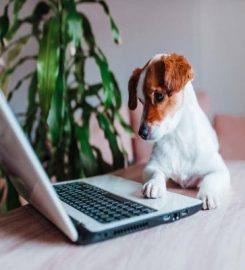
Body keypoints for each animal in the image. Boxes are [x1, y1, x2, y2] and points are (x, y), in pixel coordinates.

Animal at [127, 52, 231, 209]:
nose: (141, 133)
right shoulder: (152, 165)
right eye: (140, 101)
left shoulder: (220, 171)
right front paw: (154, 184)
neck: (179, 136)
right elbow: (156, 173)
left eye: (159, 96)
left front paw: (208, 193)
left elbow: (210, 180)